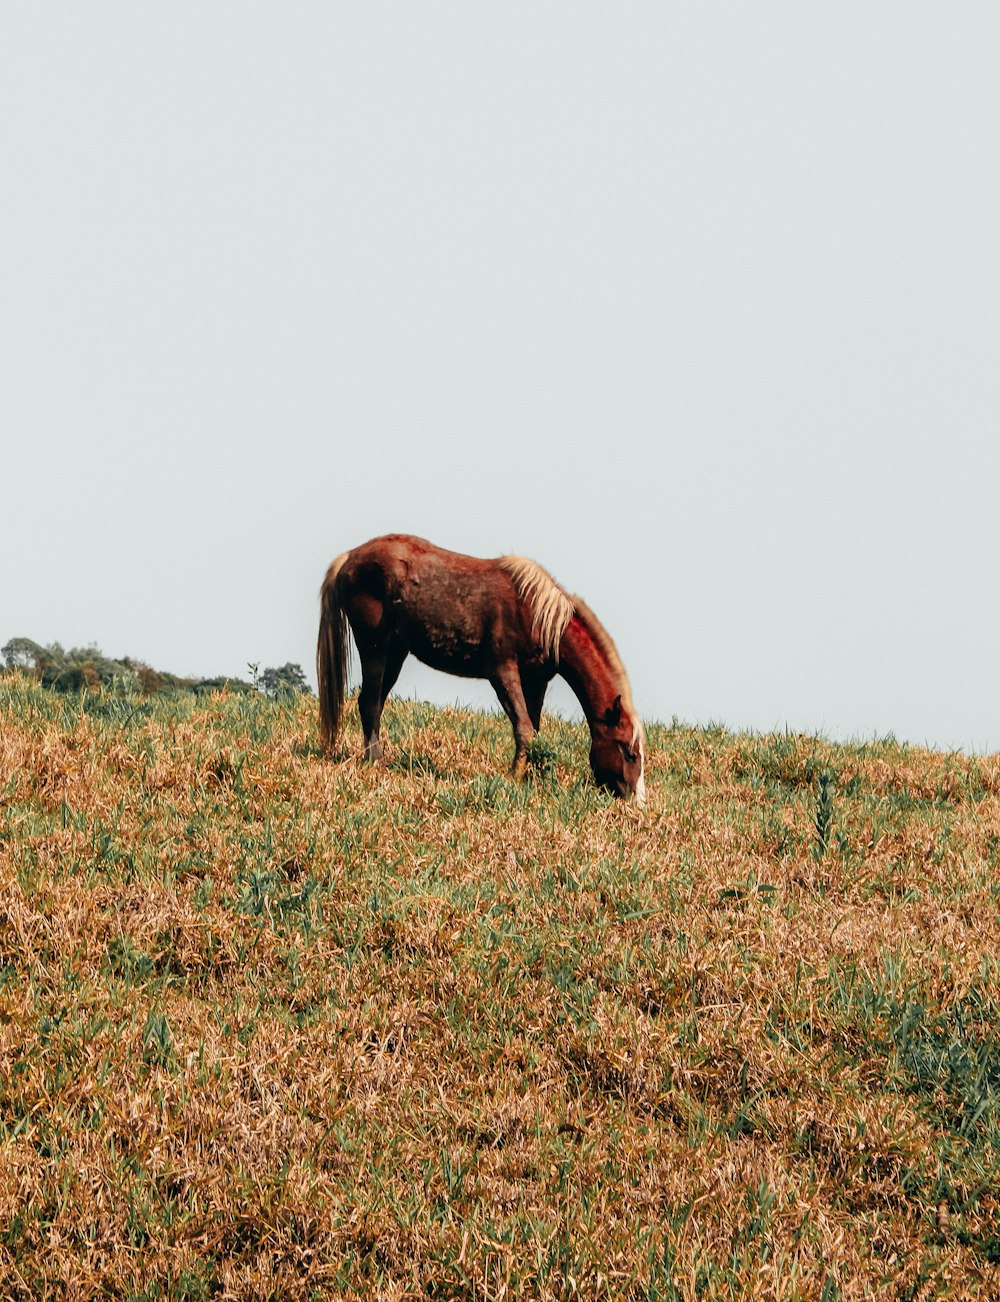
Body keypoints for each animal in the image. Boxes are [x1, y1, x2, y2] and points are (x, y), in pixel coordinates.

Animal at [317, 531, 648, 796]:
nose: (637, 800)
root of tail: (349, 558)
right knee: (369, 702)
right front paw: (514, 778)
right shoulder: (503, 672)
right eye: (629, 752)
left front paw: (531, 776)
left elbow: (534, 728)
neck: (537, 614)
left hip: (396, 652)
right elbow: (523, 728)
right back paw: (375, 761)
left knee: (373, 703)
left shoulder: (536, 680)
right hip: (375, 646)